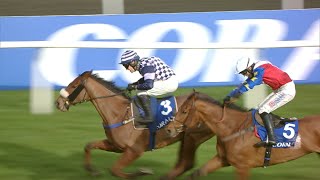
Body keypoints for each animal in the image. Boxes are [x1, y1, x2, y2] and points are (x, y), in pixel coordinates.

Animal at [55, 70, 215, 179]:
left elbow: (115, 170)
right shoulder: (115, 146)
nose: (58, 102)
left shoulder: (134, 150)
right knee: (184, 163)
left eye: (74, 85)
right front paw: (92, 170)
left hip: (192, 136)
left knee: (186, 163)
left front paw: (143, 171)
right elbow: (89, 146)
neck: (119, 113)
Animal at [165, 91, 320, 180]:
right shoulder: (222, 159)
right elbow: (197, 173)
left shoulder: (242, 166)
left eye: (184, 111)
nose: (169, 130)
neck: (234, 128)